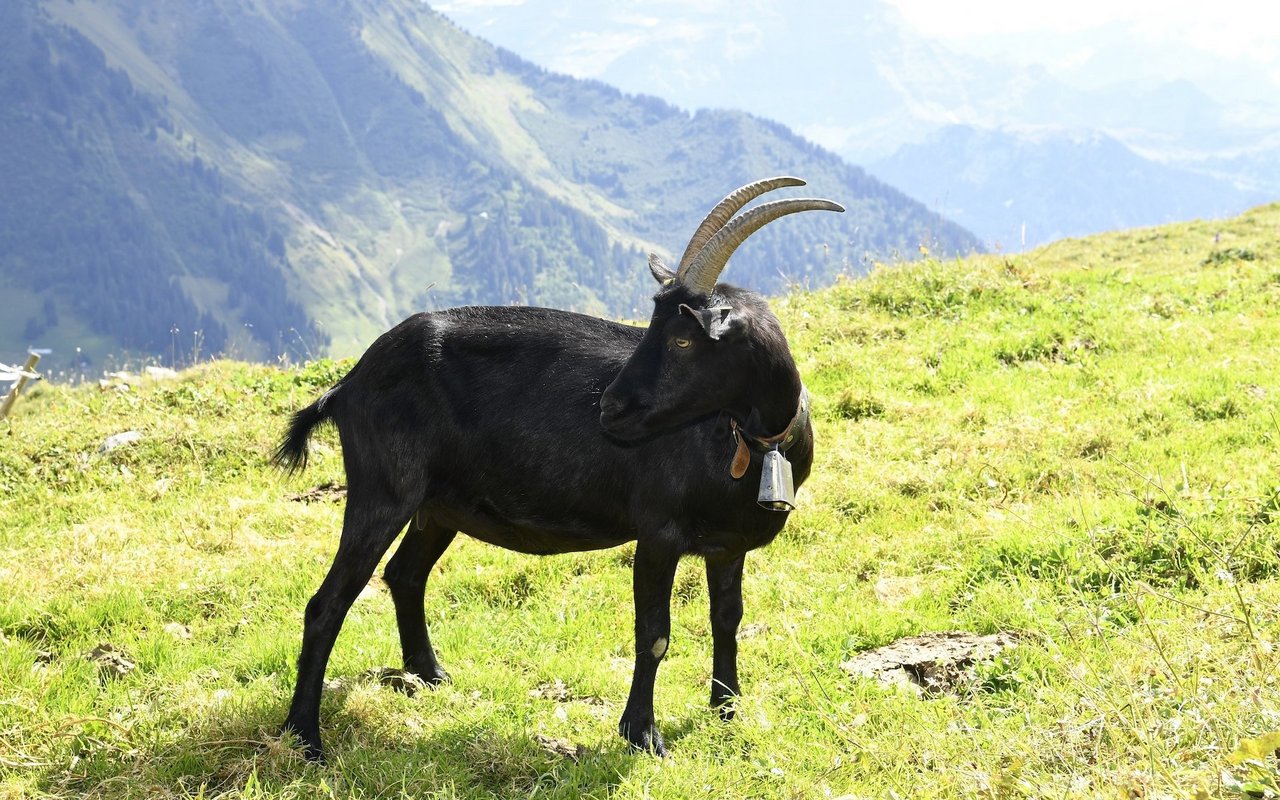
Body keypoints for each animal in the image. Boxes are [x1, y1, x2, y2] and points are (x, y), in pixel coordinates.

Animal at [275, 177, 844, 757]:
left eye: (682, 338)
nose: (610, 408)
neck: (746, 445)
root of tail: (350, 383)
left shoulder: (728, 544)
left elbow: (727, 618)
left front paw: (728, 710)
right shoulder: (658, 534)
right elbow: (654, 634)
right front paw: (643, 734)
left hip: (439, 506)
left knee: (405, 574)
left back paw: (430, 675)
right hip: (383, 490)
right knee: (328, 603)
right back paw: (305, 736)